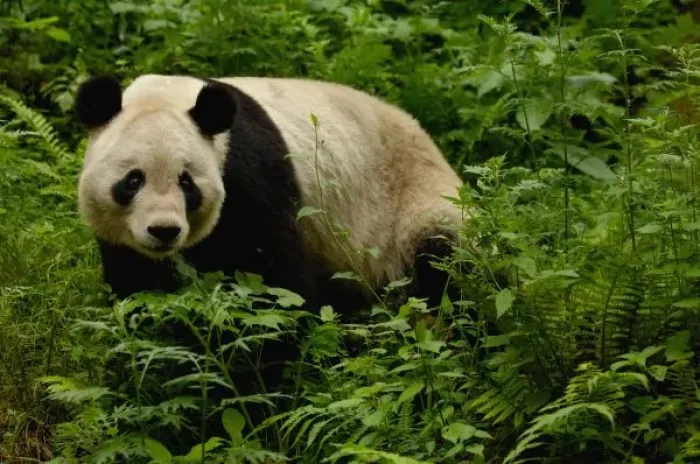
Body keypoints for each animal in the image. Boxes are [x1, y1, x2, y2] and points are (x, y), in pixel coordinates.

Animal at [75, 74, 464, 313]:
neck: (166, 94)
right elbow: (137, 286)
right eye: (133, 181)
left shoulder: (249, 176)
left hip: (413, 202)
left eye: (186, 183)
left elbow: (277, 283)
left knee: (442, 260)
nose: (164, 231)